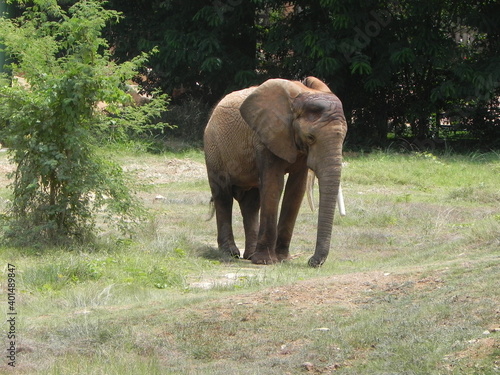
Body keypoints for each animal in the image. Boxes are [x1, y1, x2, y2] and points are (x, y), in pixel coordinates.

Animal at [204, 76, 348, 268]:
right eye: (310, 137)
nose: (312, 261)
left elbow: (296, 190)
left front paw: (282, 259)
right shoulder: (266, 138)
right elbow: (274, 185)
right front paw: (265, 262)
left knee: (251, 202)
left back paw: (250, 255)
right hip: (213, 147)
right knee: (223, 195)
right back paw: (231, 253)